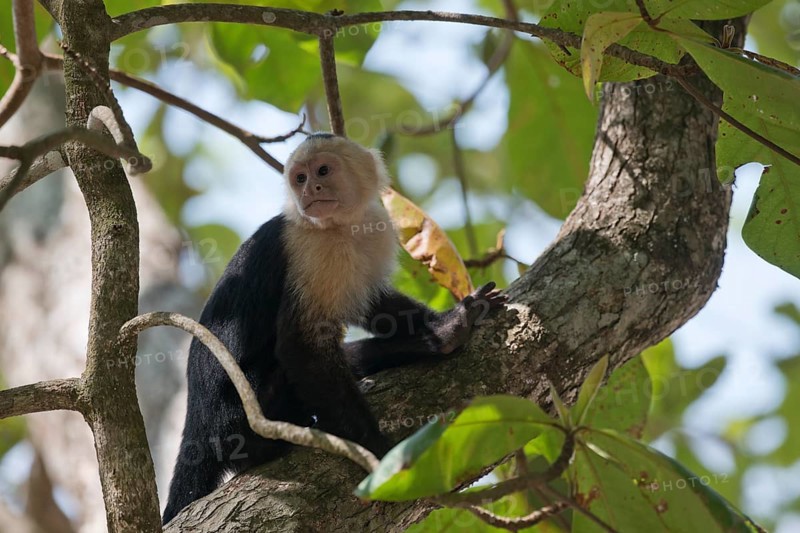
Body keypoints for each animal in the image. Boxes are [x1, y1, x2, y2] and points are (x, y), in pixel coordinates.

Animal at [162, 133, 505, 523]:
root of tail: (198, 421)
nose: (311, 188)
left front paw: (448, 325)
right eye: (299, 178)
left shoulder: (375, 228)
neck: (340, 226)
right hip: (237, 417)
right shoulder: (311, 248)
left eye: (322, 171)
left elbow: (375, 305)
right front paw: (378, 454)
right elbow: (300, 344)